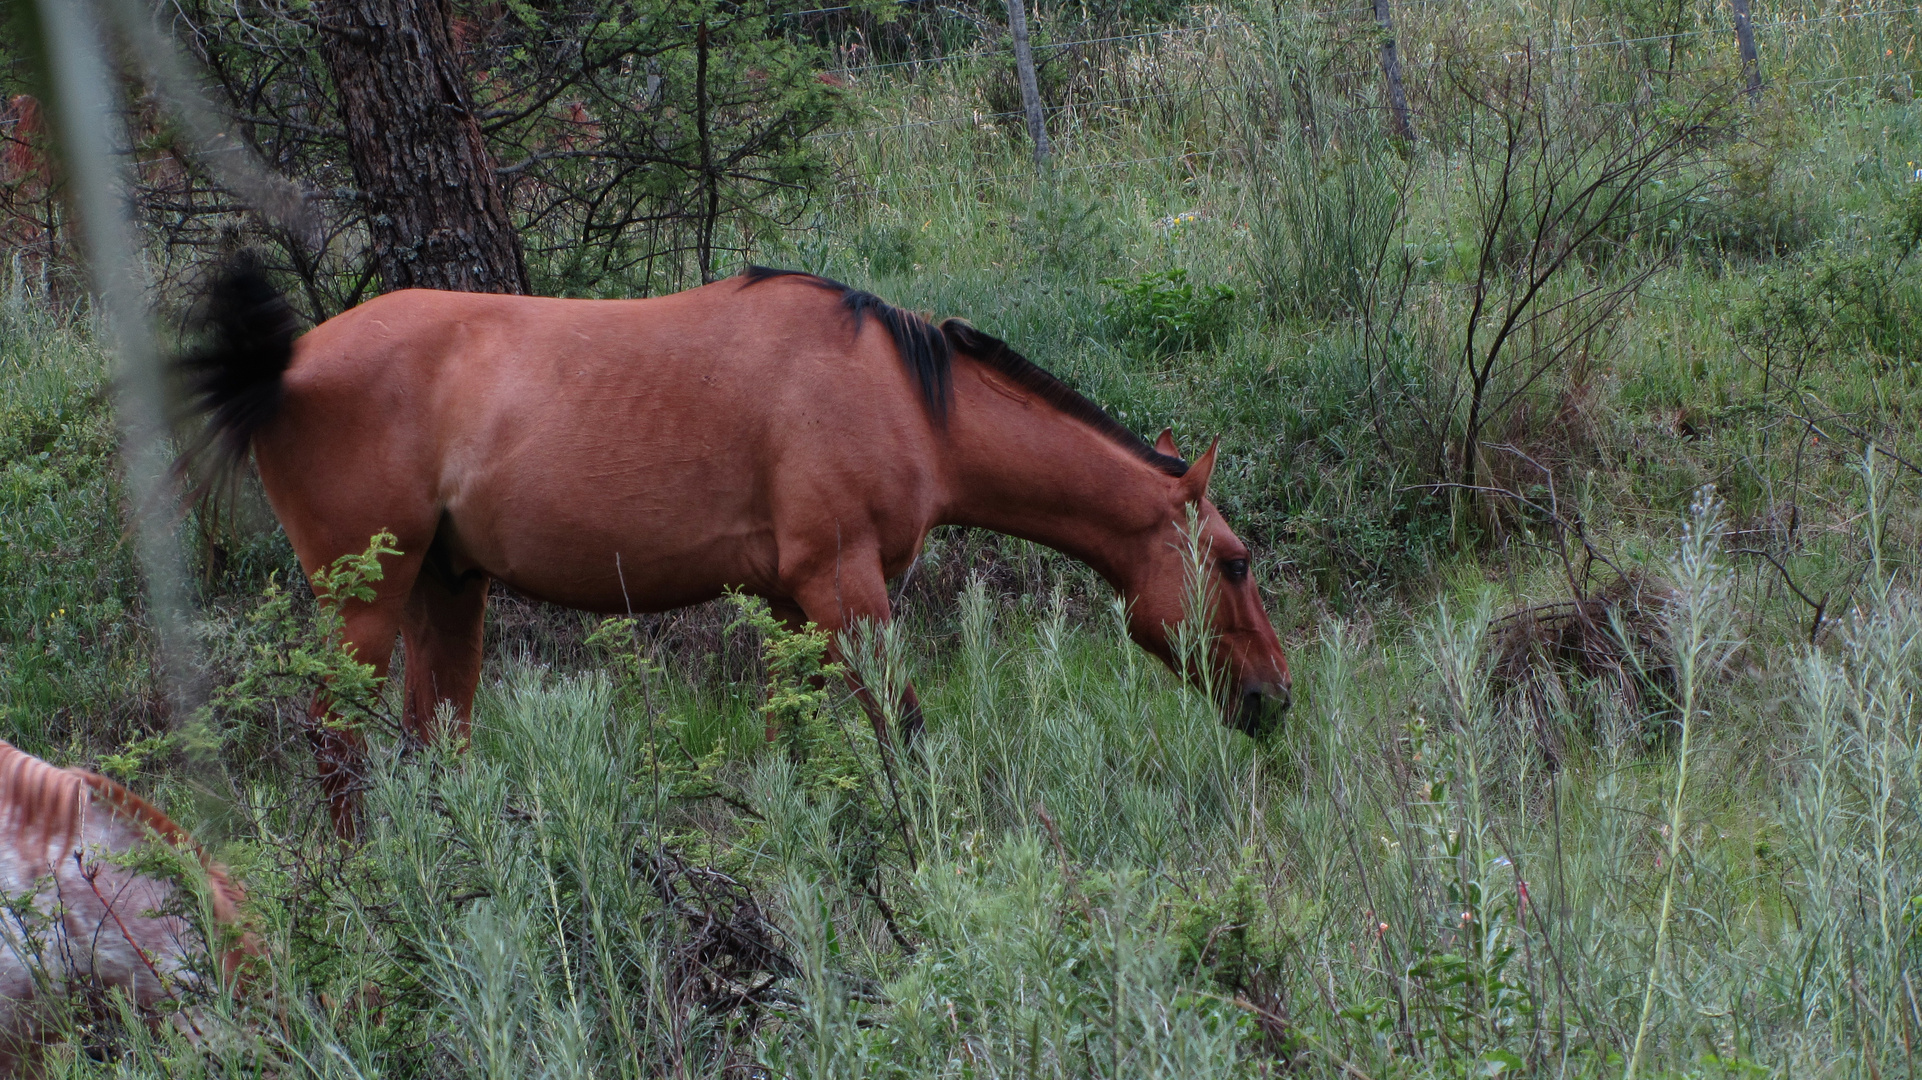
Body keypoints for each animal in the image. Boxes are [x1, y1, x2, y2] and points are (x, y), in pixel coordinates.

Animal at [180, 261, 1291, 834]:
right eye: (1234, 561)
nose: (1275, 697)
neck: (903, 400)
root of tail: (283, 364)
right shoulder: (842, 591)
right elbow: (904, 732)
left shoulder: (792, 607)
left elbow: (785, 743)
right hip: (365, 600)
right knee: (336, 740)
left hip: (447, 589)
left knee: (433, 743)